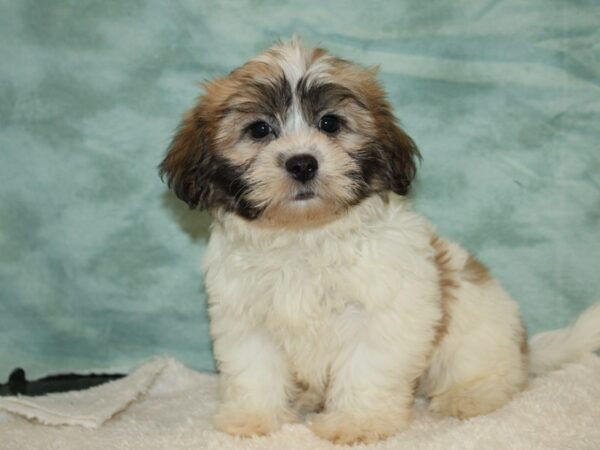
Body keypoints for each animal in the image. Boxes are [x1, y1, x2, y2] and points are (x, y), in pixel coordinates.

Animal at [159, 39, 600, 446]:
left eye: (330, 124)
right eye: (259, 130)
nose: (302, 163)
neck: (304, 234)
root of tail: (525, 349)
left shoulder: (383, 314)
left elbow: (366, 367)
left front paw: (357, 422)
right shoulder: (246, 316)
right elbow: (254, 368)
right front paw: (253, 418)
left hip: (478, 336)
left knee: (494, 374)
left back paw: (471, 396)